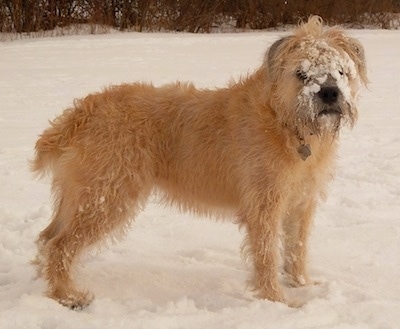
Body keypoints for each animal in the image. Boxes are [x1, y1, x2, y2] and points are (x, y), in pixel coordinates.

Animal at [31, 15, 368, 308]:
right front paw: (277, 301)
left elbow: (297, 247)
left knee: (47, 237)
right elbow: (266, 254)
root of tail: (82, 113)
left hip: (80, 195)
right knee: (60, 245)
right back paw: (67, 295)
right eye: (302, 73)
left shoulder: (301, 202)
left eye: (341, 71)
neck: (287, 124)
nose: (329, 93)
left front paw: (302, 285)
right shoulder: (264, 205)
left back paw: (45, 281)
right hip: (105, 197)